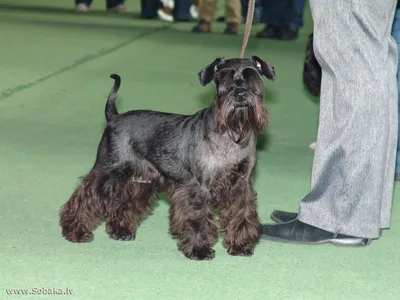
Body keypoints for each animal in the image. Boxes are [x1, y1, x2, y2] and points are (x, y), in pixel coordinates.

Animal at [59, 56, 276, 260]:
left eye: (253, 78)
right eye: (224, 79)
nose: (240, 95)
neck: (232, 133)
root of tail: (114, 117)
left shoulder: (241, 185)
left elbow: (242, 213)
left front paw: (239, 246)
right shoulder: (199, 187)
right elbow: (197, 218)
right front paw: (198, 249)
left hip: (140, 181)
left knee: (124, 203)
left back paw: (121, 231)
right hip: (109, 171)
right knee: (85, 197)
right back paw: (75, 231)